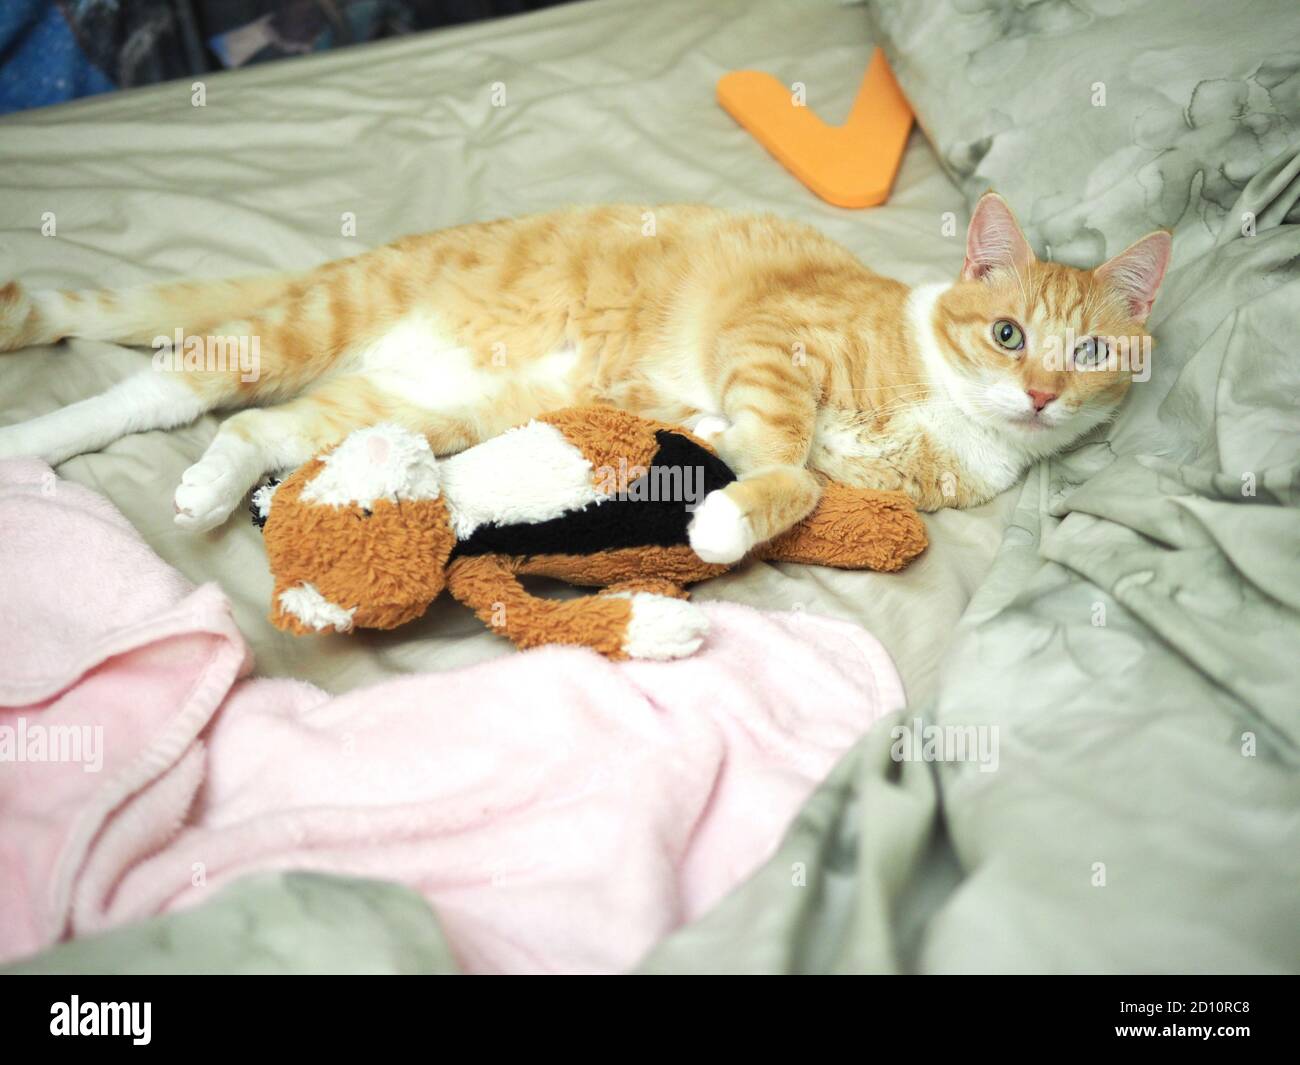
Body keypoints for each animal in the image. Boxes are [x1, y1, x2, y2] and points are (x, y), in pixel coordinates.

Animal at [0, 196, 1170, 566]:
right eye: (1009, 334)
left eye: (1089, 356)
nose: (1042, 395)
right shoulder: (771, 341)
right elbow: (790, 465)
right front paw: (728, 518)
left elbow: (798, 471)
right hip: (306, 326)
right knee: (172, 389)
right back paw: (28, 449)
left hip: (404, 405)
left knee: (256, 429)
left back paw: (204, 486)